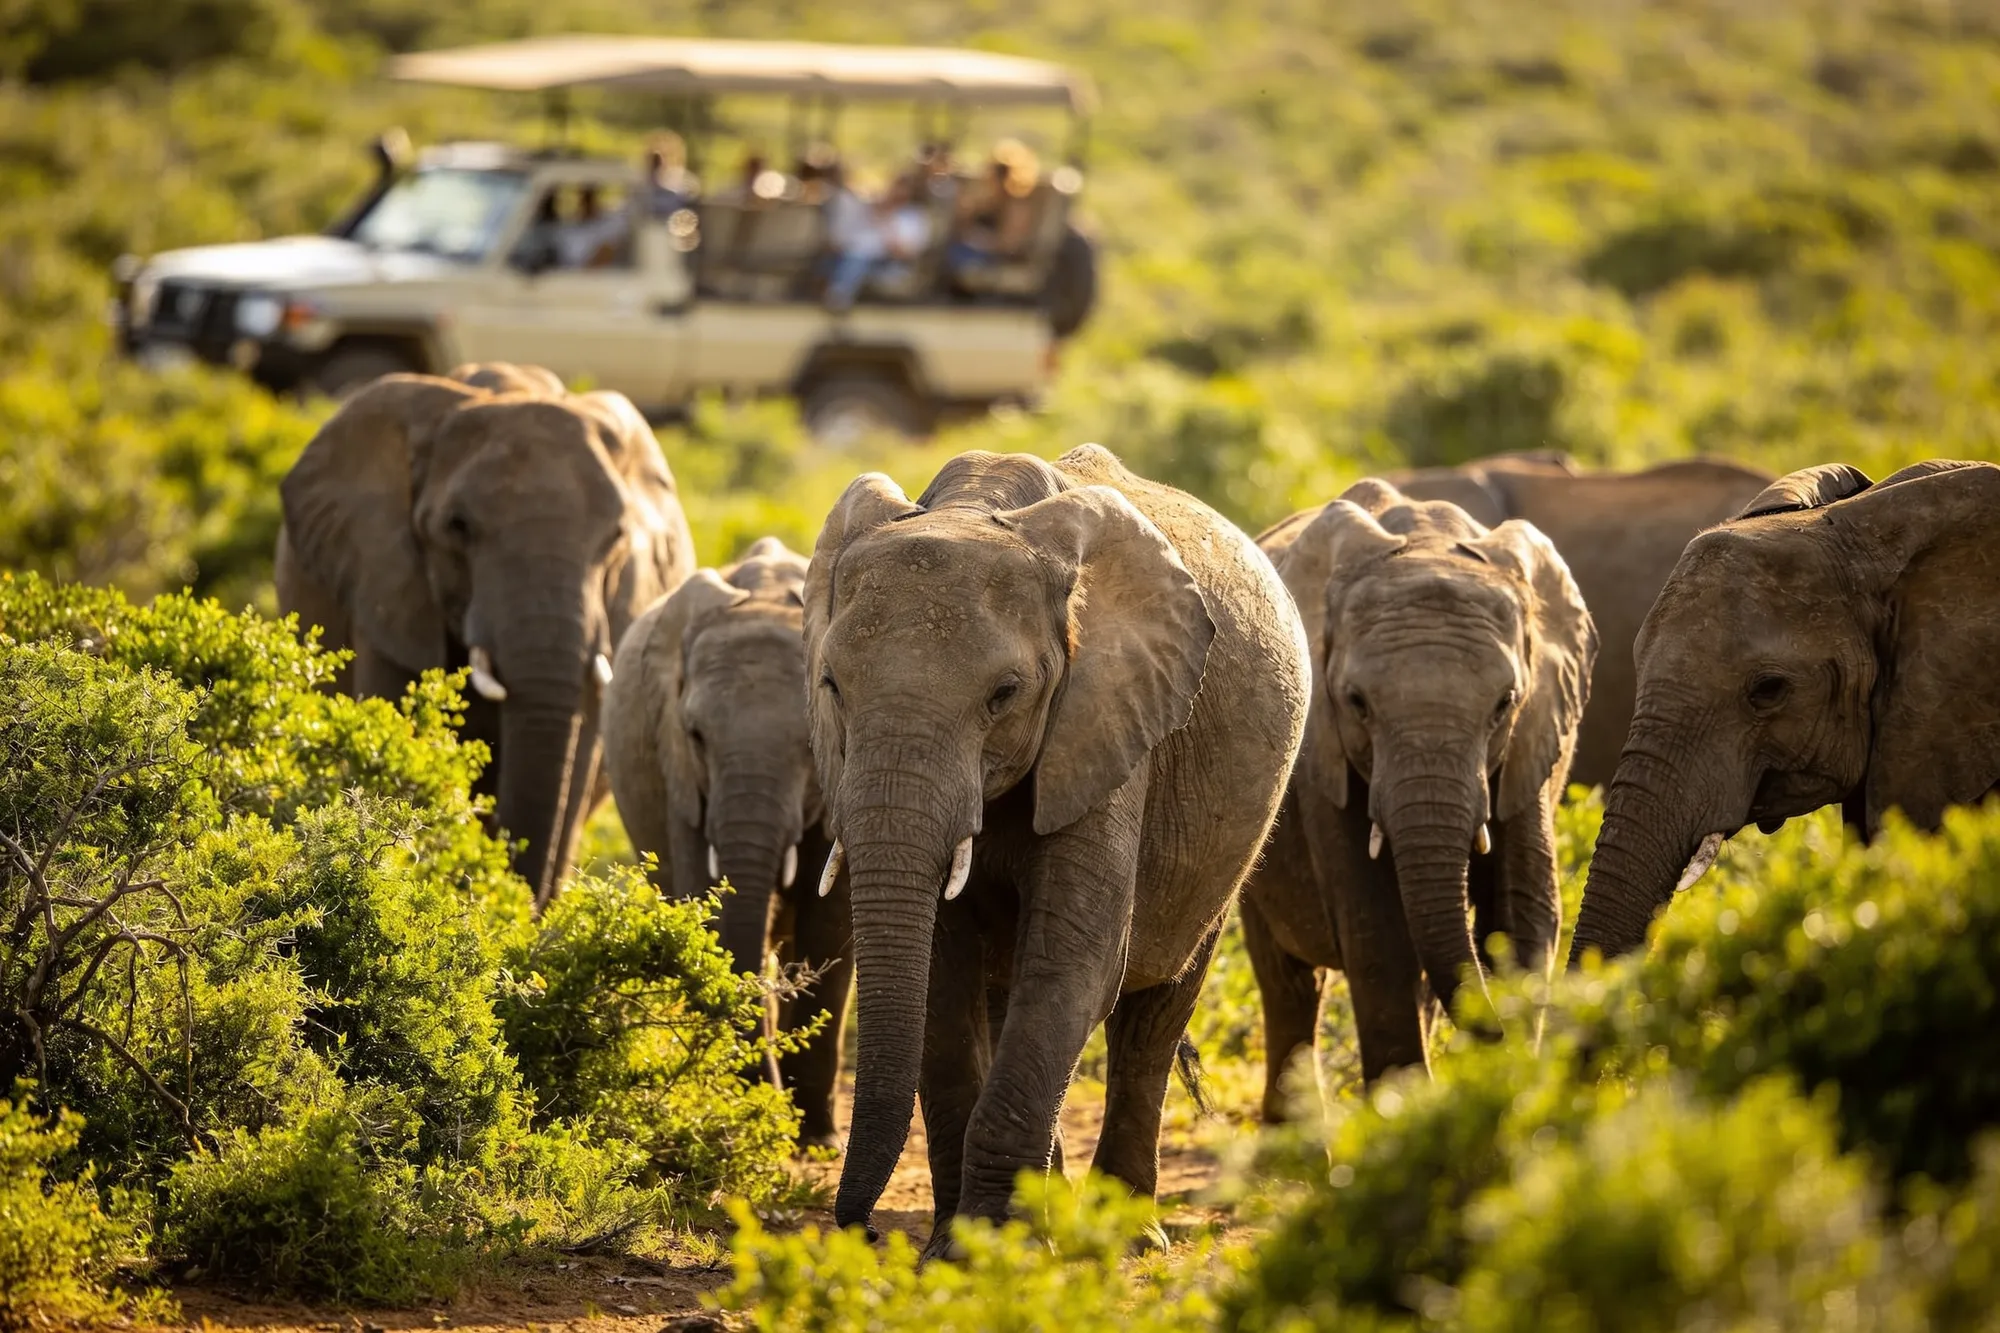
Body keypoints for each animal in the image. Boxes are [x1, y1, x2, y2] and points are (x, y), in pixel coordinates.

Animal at [600, 537, 851, 1147]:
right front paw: (752, 1112)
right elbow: (711, 904)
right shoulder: (680, 775)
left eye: (810, 745)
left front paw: (816, 1138)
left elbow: (832, 920)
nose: (768, 1106)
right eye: (696, 736)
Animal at [803, 444, 1309, 1251]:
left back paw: (1131, 1231)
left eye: (1004, 694)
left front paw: (992, 1245)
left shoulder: (1109, 719)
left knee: (1151, 1016)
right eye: (831, 685)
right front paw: (962, 1250)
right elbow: (944, 981)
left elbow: (1076, 962)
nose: (867, 1232)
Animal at [1241, 481, 1596, 1107]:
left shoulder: (1531, 742)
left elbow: (1522, 915)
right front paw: (1399, 1111)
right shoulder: (1322, 759)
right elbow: (1378, 934)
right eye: (1357, 703)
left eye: (1504, 703)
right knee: (1288, 982)